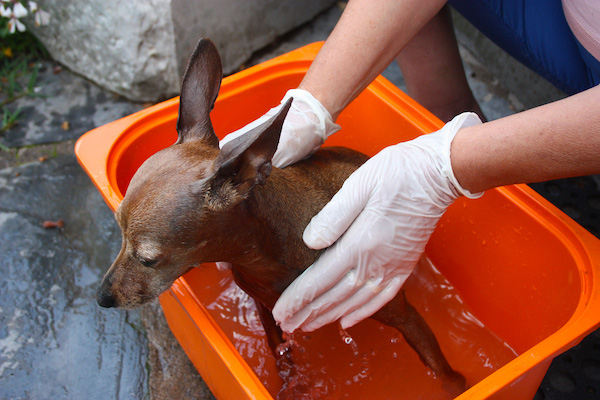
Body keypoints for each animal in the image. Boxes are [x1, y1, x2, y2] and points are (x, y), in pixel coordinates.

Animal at [96, 38, 466, 396]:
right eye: (119, 233)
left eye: (149, 259)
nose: (102, 297)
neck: (268, 260)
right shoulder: (266, 312)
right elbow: (282, 361)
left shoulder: (402, 314)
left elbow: (442, 371)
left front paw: (456, 385)